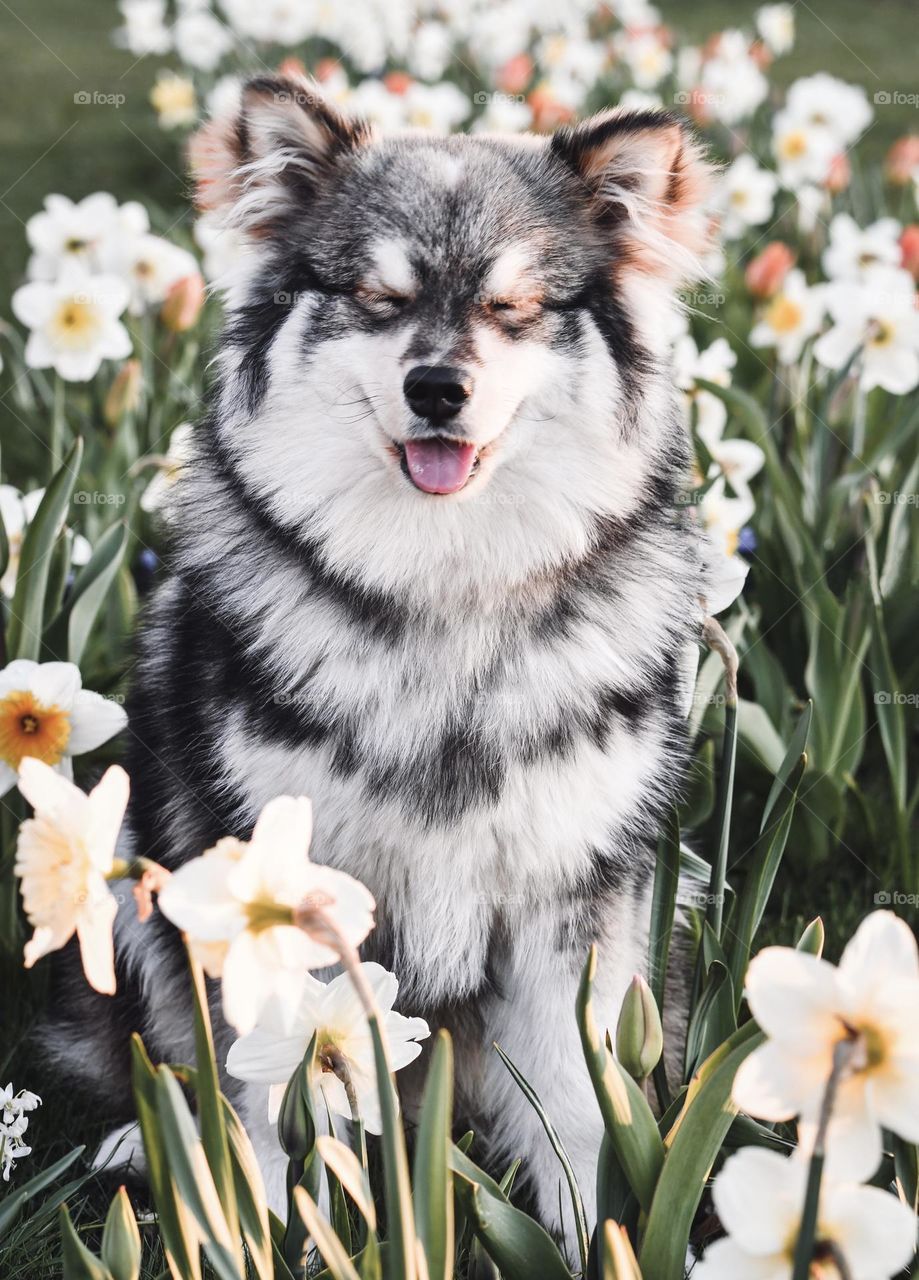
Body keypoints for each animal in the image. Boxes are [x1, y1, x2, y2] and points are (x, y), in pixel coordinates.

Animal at [41, 80, 721, 1249]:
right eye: (375, 296)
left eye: (511, 307)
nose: (437, 387)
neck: (440, 586)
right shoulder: (265, 884)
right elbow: (261, 1087)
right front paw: (257, 1221)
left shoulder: (574, 895)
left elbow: (577, 1103)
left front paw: (594, 1234)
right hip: (137, 868)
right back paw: (145, 1143)